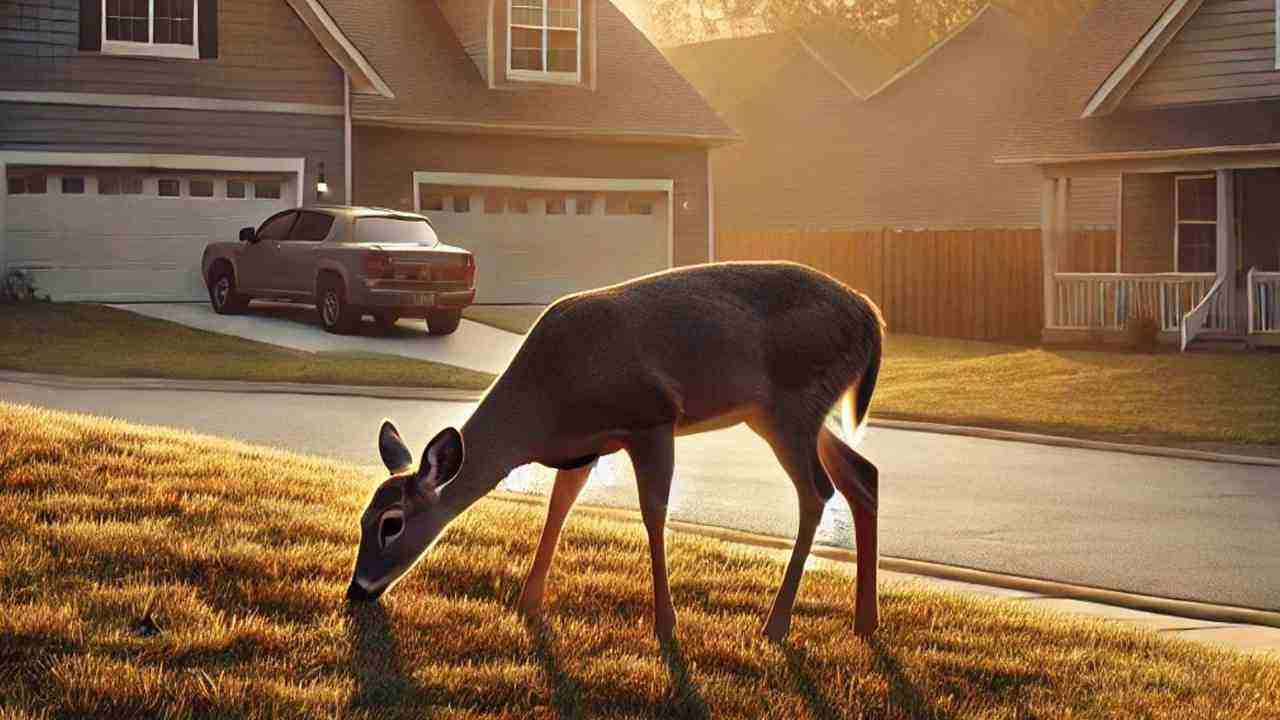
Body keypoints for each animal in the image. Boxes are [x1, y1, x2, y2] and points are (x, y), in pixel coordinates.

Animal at [347, 261, 885, 643]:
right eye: (361, 517)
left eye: (391, 524)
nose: (356, 591)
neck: (545, 408)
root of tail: (870, 318)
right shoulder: (583, 451)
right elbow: (558, 509)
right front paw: (527, 602)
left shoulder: (652, 418)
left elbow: (654, 512)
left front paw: (666, 624)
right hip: (787, 413)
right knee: (863, 474)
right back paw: (865, 621)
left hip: (790, 404)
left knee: (818, 490)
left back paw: (776, 625)